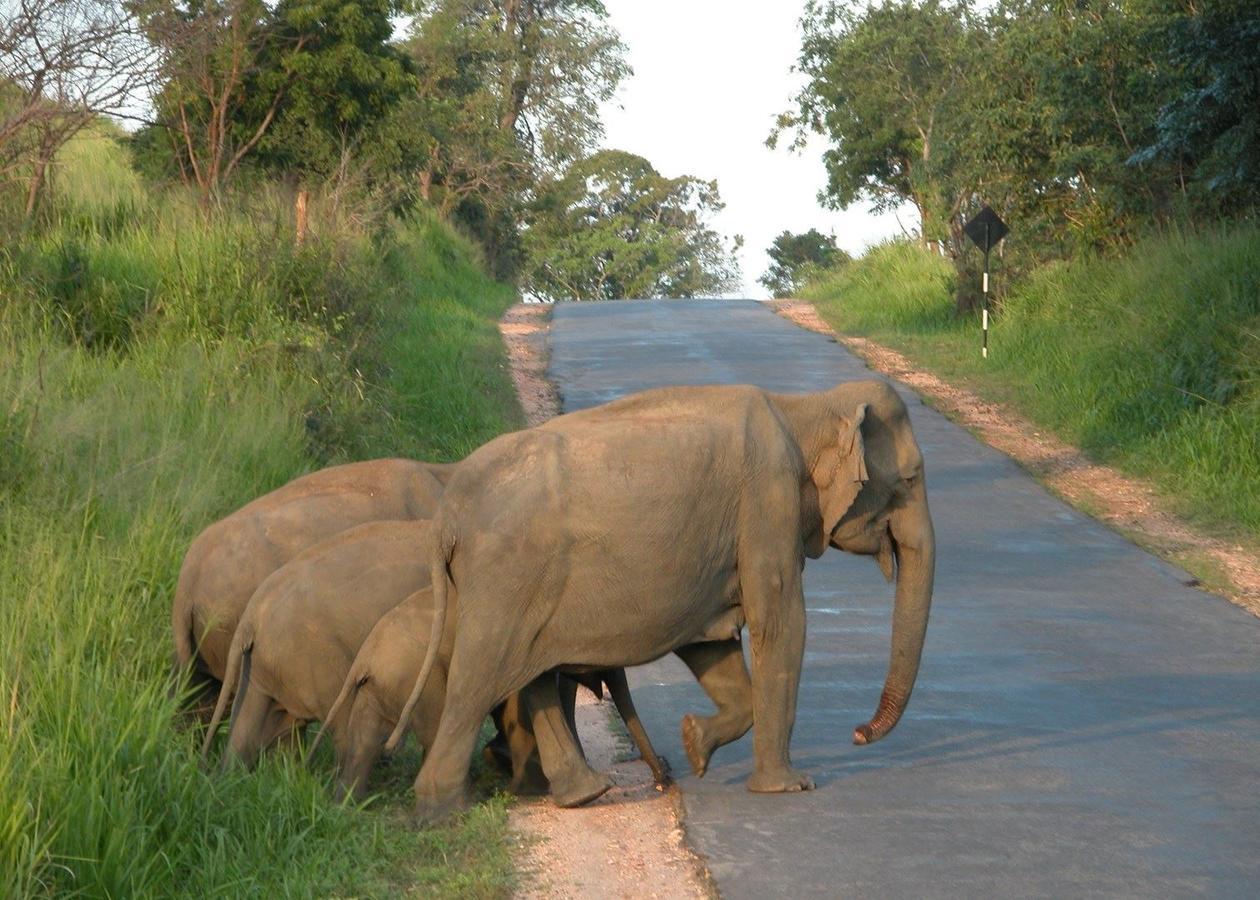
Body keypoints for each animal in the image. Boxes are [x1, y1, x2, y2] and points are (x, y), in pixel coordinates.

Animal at [393, 378, 937, 821]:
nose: (858, 732)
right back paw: (443, 811)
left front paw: (694, 743)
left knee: (533, 677)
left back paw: (583, 795)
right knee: (478, 681)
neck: (805, 406)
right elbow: (780, 622)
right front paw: (789, 787)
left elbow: (711, 642)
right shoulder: (769, 501)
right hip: (505, 579)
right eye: (910, 479)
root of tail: (446, 516)